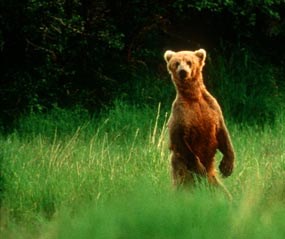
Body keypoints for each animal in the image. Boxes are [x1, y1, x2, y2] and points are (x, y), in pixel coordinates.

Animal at [163, 48, 234, 196]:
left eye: (189, 62)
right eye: (176, 63)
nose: (183, 72)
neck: (193, 97)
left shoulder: (213, 108)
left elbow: (223, 134)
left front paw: (227, 167)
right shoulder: (181, 114)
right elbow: (179, 139)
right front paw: (199, 167)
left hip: (212, 180)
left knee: (222, 193)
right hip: (181, 170)